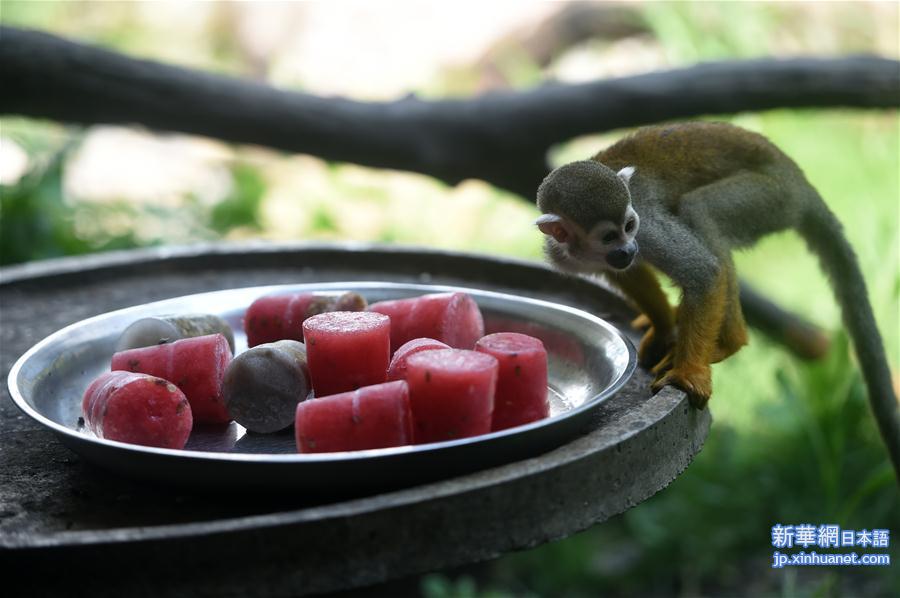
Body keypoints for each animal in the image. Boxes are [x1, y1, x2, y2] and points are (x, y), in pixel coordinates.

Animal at [536, 123, 900, 478]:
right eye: (609, 237)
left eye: (629, 225)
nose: (627, 248)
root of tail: (799, 180)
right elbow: (628, 272)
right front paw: (663, 327)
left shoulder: (647, 227)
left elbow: (704, 272)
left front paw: (688, 372)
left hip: (772, 198)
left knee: (699, 212)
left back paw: (729, 341)